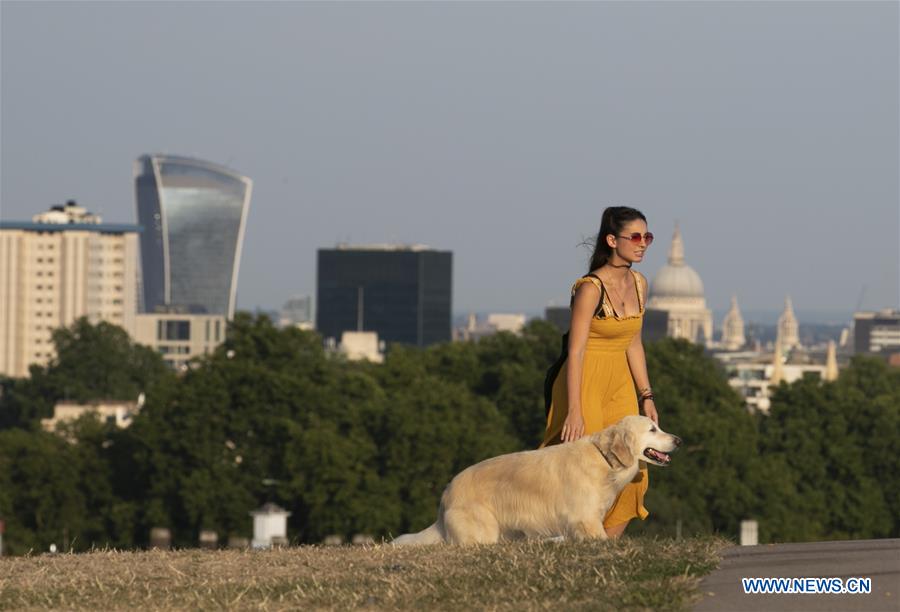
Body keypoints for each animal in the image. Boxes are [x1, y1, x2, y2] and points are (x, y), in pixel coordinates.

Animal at [394, 416, 684, 544]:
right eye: (653, 429)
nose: (679, 440)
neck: (604, 459)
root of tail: (446, 496)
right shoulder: (586, 519)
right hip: (483, 530)